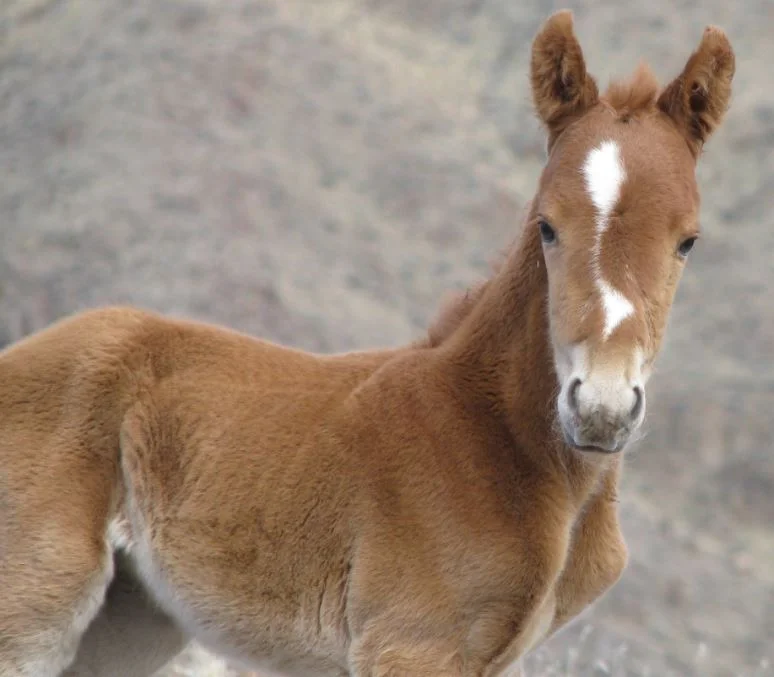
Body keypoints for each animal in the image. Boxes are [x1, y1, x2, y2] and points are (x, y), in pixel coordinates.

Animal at [0, 11, 734, 677]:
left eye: (688, 241)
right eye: (548, 226)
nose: (601, 408)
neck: (494, 435)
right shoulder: (410, 643)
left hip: (128, 620)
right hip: (34, 607)